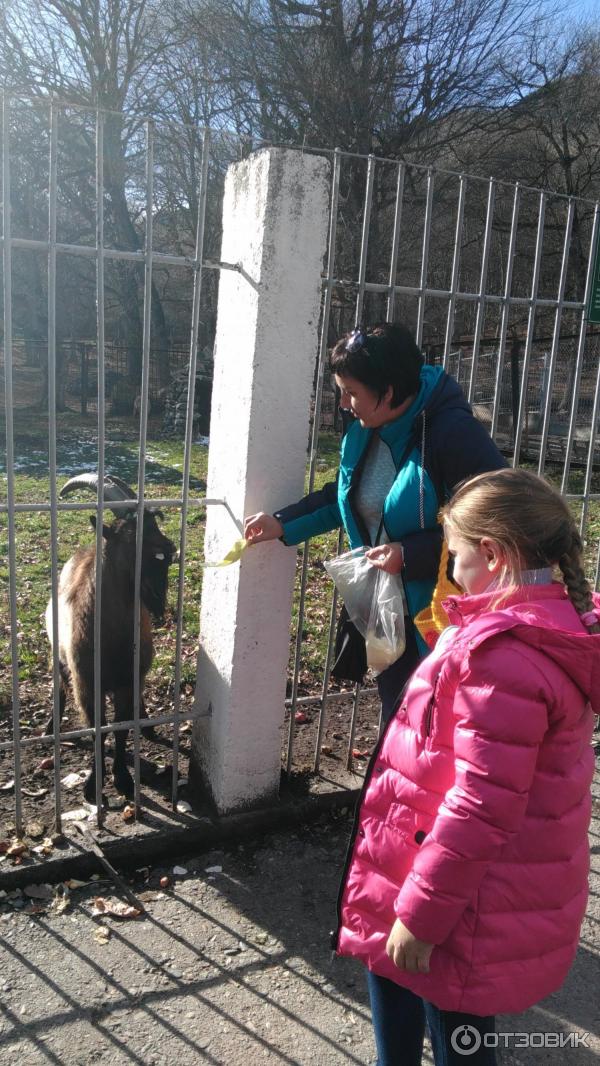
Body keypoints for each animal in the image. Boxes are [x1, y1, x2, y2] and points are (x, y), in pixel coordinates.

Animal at [44, 475, 175, 801]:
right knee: (60, 687)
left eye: (153, 523)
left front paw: (123, 779)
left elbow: (120, 726)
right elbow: (98, 727)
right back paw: (50, 727)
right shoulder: (87, 682)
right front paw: (93, 785)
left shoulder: (128, 679)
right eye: (127, 534)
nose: (168, 549)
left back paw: (147, 724)